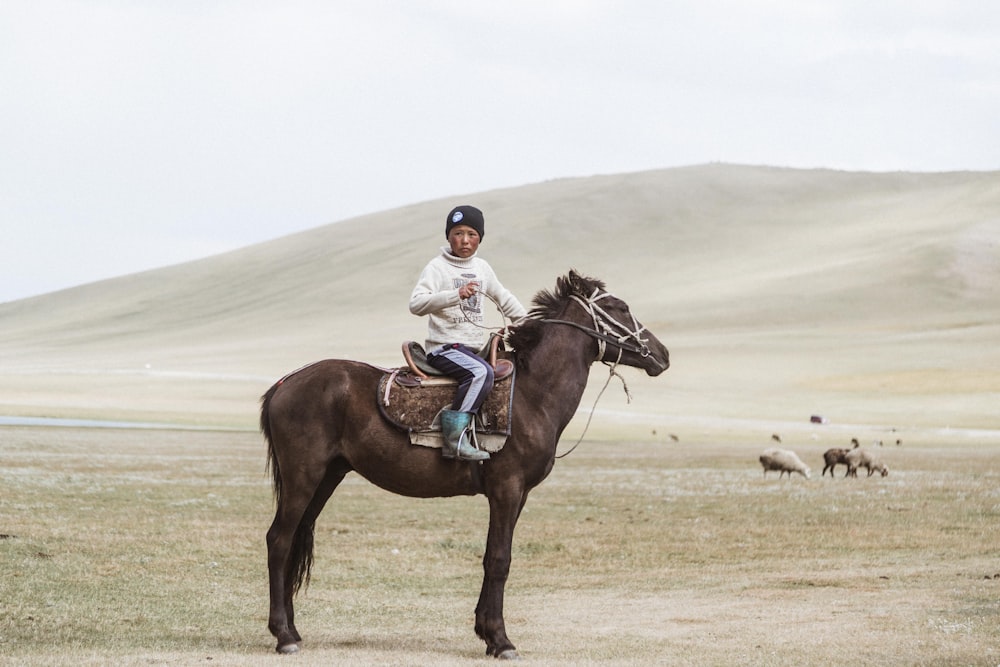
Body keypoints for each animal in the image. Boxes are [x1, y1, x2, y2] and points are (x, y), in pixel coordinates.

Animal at [258, 272, 668, 656]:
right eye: (619, 307)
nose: (662, 354)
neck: (533, 395)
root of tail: (285, 383)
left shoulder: (518, 495)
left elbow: (492, 557)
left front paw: (486, 632)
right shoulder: (506, 489)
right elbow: (500, 559)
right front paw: (501, 639)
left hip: (327, 477)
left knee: (295, 539)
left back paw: (293, 630)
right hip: (302, 477)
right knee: (279, 539)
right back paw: (283, 636)